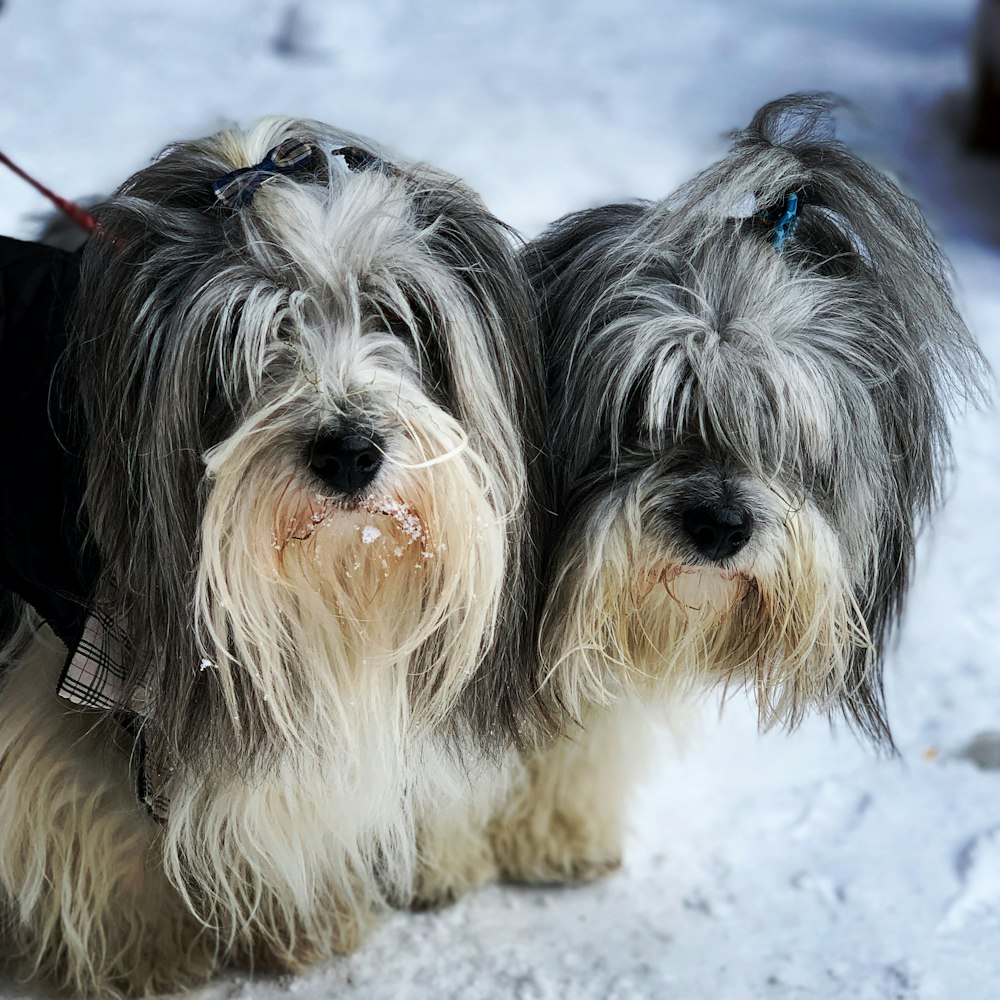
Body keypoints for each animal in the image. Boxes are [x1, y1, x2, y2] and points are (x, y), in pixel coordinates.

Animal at [0, 117, 548, 992]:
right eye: (247, 332)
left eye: (396, 313)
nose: (349, 451)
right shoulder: (71, 660)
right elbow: (94, 808)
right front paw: (145, 956)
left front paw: (299, 922)